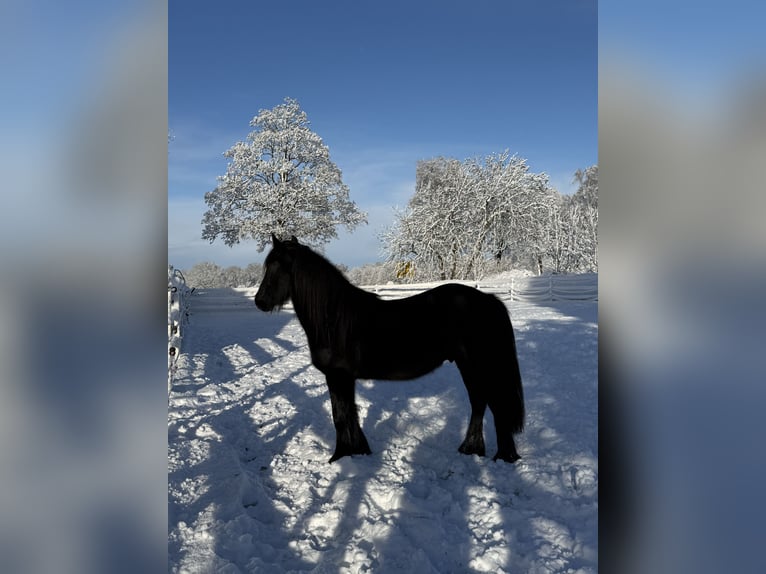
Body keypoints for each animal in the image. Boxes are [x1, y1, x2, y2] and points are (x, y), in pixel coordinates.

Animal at [254, 234, 525, 463]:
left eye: (277, 267)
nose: (259, 302)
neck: (334, 319)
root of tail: (489, 301)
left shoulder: (337, 376)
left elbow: (340, 416)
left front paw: (339, 456)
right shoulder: (345, 378)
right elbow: (350, 413)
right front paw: (359, 451)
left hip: (478, 365)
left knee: (494, 405)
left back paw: (502, 456)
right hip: (467, 365)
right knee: (479, 402)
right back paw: (471, 450)